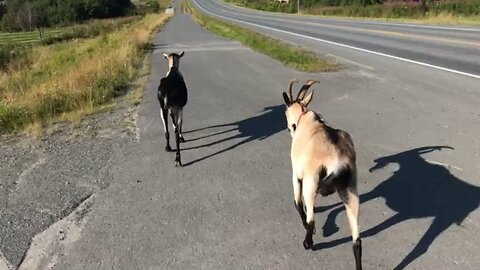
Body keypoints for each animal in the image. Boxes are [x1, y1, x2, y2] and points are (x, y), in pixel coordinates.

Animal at [282, 79, 364, 270]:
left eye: (285, 111)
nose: (289, 128)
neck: (306, 120)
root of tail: (340, 159)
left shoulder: (297, 174)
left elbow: (297, 202)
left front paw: (307, 226)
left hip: (311, 182)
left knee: (311, 215)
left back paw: (308, 242)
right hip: (350, 190)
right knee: (357, 241)